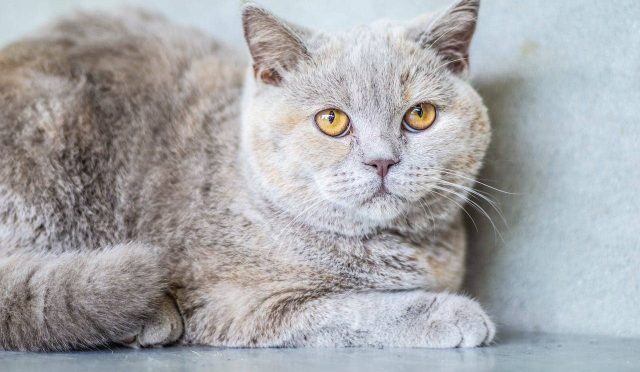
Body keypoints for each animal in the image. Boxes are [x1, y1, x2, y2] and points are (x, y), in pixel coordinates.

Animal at [0, 0, 496, 350]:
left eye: (420, 115)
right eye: (332, 120)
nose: (382, 161)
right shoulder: (240, 304)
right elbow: (357, 311)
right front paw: (451, 314)